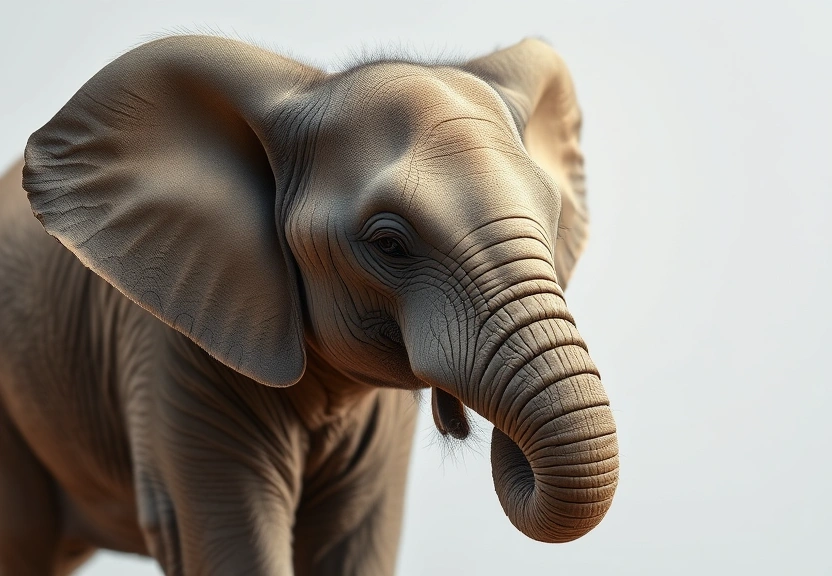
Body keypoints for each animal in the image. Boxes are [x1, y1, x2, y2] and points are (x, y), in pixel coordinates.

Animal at [0, 35, 618, 575]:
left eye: (554, 221)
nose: (485, 434)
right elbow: (236, 541)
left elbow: (354, 540)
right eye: (389, 244)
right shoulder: (172, 358)